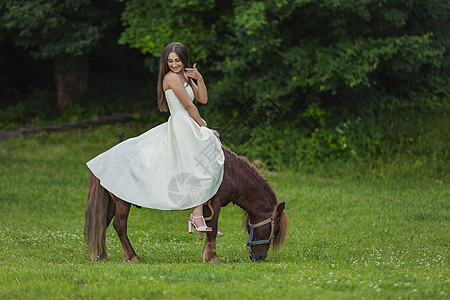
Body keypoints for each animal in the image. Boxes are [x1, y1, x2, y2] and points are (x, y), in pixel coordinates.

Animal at [84, 146, 288, 262]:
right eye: (276, 229)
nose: (260, 257)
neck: (231, 174)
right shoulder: (216, 203)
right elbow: (212, 228)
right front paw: (212, 257)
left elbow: (208, 229)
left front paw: (206, 255)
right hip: (122, 203)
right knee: (120, 225)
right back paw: (132, 256)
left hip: (112, 203)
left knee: (102, 224)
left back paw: (102, 255)